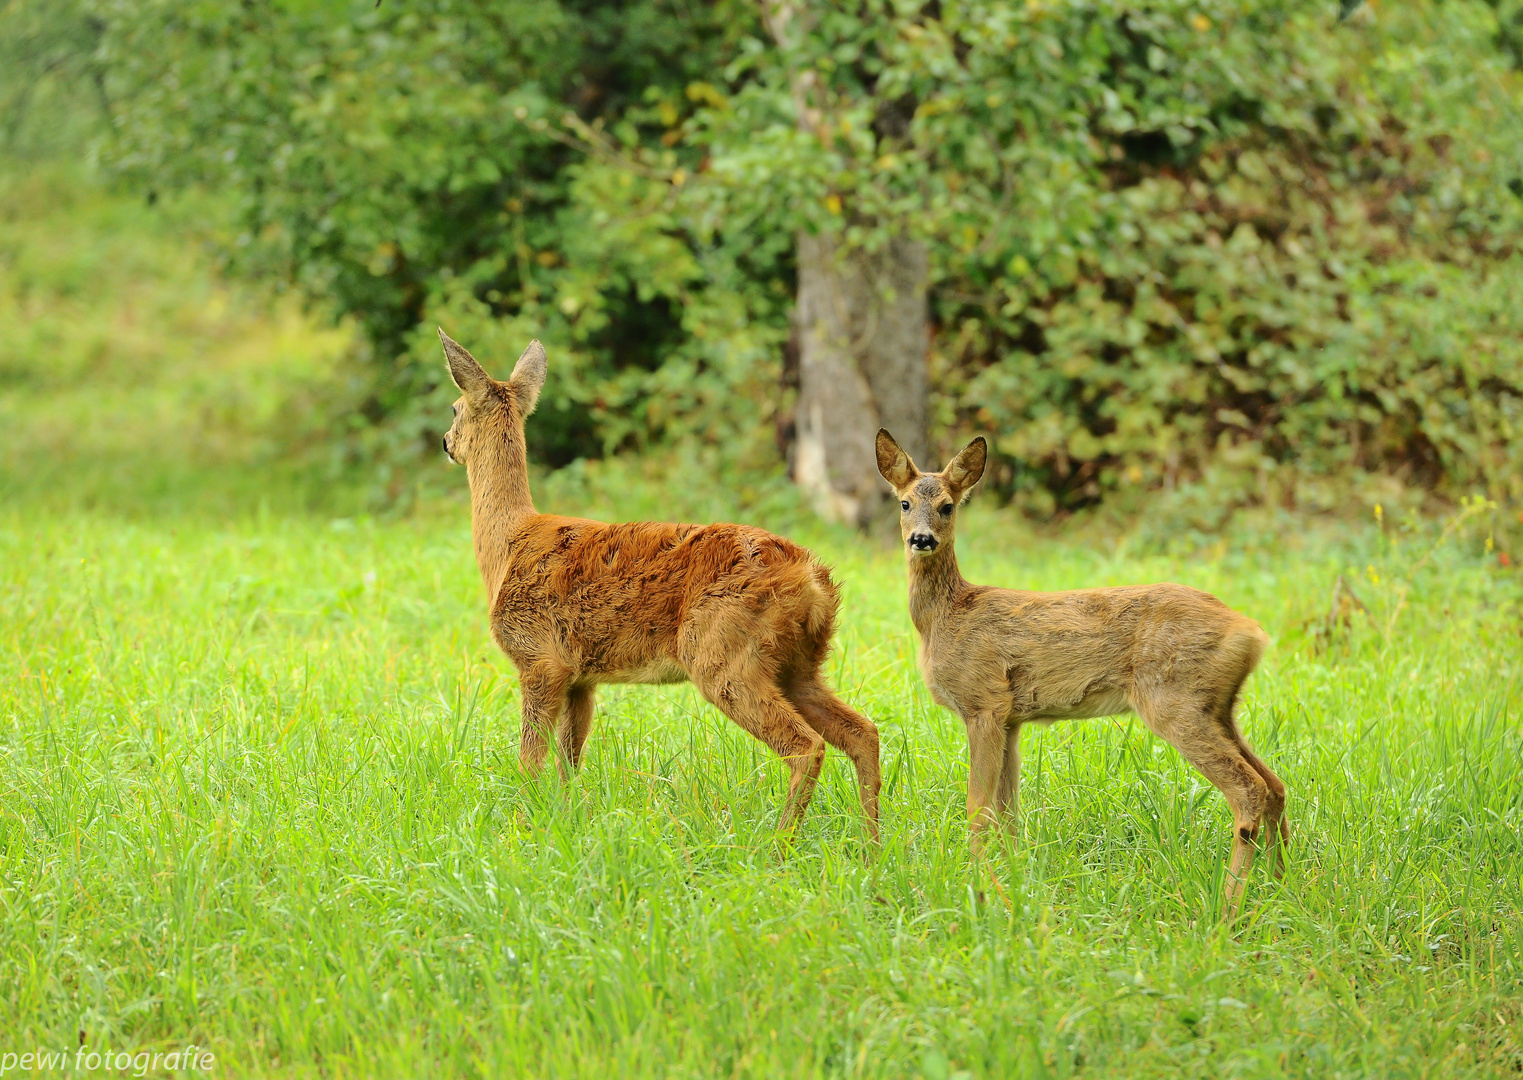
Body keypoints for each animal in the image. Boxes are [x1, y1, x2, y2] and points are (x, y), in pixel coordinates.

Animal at [435, 332, 883, 840]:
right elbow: (570, 759)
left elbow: (531, 761)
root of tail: (812, 578)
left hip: (723, 652)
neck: (509, 544)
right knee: (863, 732)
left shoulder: (540, 659)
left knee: (806, 746)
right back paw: (872, 846)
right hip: (799, 664)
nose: (445, 441)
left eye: (454, 408)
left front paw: (526, 828)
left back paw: (775, 846)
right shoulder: (581, 675)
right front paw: (566, 822)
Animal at [877, 426, 1291, 907]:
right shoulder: (1011, 718)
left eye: (948, 505)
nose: (922, 539)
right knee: (1276, 784)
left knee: (1250, 790)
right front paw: (1014, 880)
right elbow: (1009, 811)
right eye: (904, 503)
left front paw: (980, 884)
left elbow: (978, 809)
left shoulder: (983, 702)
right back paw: (1282, 888)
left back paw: (1227, 907)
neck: (945, 617)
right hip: (1219, 706)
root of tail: (1250, 632)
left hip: (1175, 700)